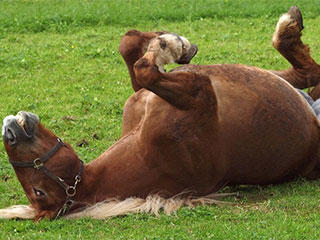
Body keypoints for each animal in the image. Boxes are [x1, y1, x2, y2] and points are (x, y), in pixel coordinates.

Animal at [1, 5, 320, 220]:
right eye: (39, 192)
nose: (9, 131)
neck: (143, 147)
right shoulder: (200, 92)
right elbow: (144, 70)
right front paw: (172, 44)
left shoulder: (140, 97)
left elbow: (130, 49)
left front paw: (166, 41)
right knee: (308, 70)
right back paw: (288, 27)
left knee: (305, 74)